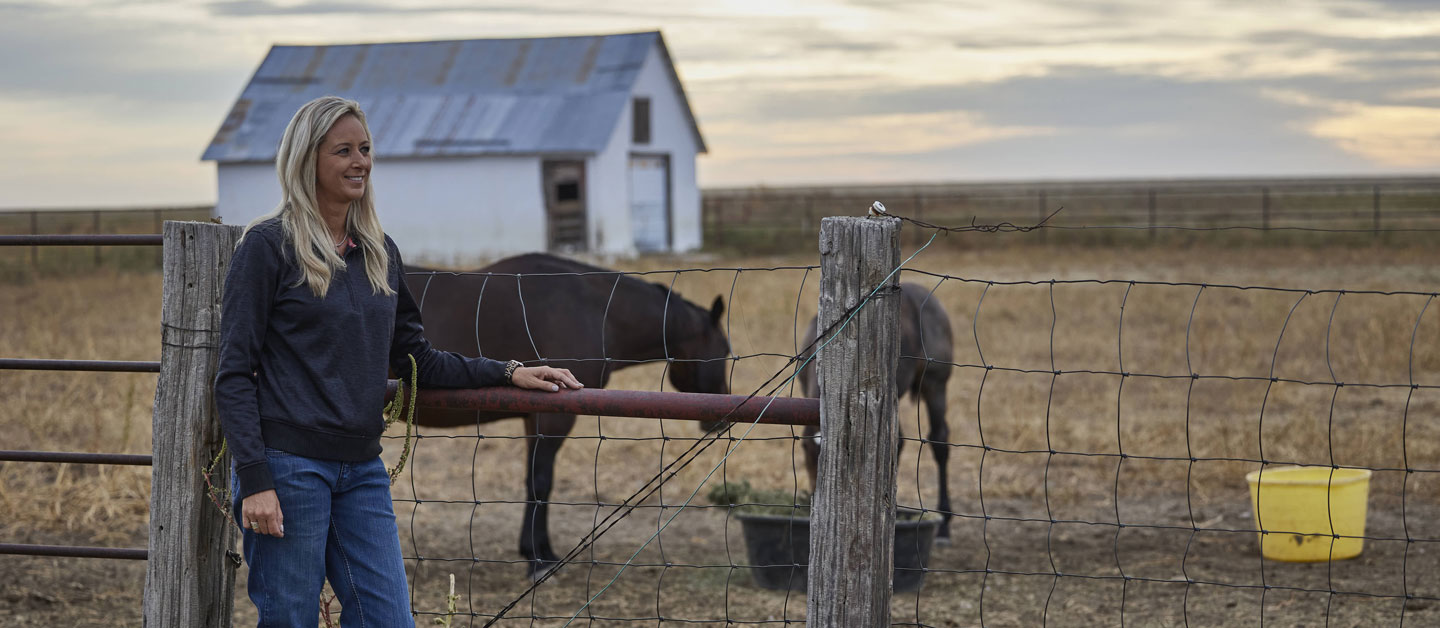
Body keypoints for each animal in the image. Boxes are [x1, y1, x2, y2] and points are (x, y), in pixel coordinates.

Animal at [406, 252, 731, 576]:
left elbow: (534, 480)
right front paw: (539, 558)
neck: (597, 311)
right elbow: (540, 481)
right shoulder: (554, 418)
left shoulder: (533, 419)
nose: (721, 422)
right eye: (726, 351)